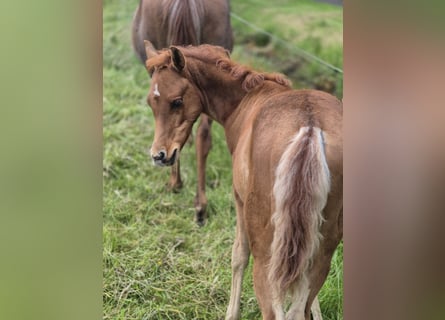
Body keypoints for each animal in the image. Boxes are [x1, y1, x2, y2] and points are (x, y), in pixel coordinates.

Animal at [144, 41, 342, 318]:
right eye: (151, 102)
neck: (245, 101)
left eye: (177, 101)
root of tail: (310, 128)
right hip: (323, 245)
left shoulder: (238, 199)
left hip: (267, 253)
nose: (159, 155)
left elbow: (238, 255)